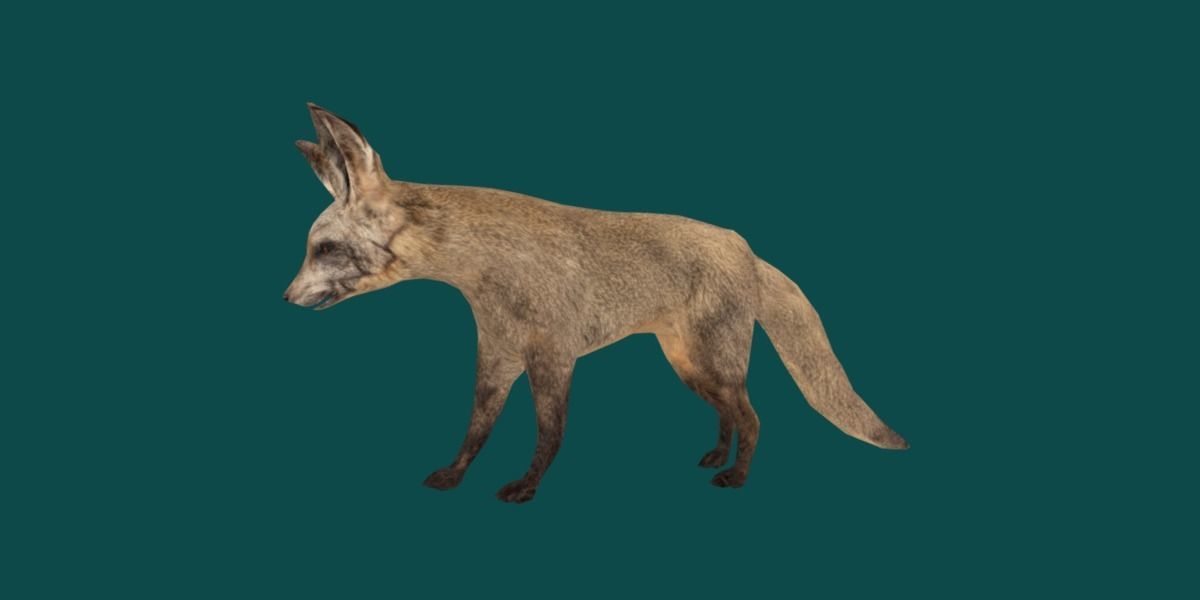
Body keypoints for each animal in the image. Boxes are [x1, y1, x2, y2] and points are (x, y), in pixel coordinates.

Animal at [284, 103, 908, 503]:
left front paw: (527, 487)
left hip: (715, 362)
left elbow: (550, 433)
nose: (286, 296)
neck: (490, 274)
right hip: (687, 364)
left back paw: (736, 478)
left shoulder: (553, 358)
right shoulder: (497, 356)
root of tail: (744, 245)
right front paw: (456, 475)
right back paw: (716, 457)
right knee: (730, 414)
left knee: (753, 416)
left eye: (324, 248)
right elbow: (476, 428)